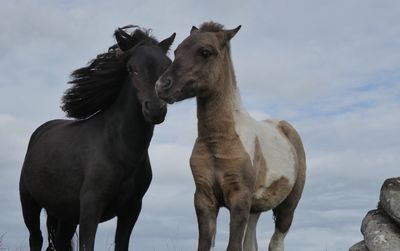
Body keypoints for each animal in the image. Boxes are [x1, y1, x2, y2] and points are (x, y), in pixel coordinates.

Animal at [19, 26, 175, 251]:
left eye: (167, 66)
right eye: (131, 69)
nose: (155, 110)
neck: (119, 148)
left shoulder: (131, 209)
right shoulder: (91, 207)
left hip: (65, 214)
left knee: (59, 241)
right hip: (29, 203)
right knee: (36, 239)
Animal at [156, 22, 306, 251]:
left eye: (205, 52)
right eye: (177, 51)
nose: (161, 85)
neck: (217, 142)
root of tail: (285, 127)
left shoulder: (239, 198)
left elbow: (234, 246)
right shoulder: (204, 198)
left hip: (288, 207)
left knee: (276, 242)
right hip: (255, 209)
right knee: (252, 243)